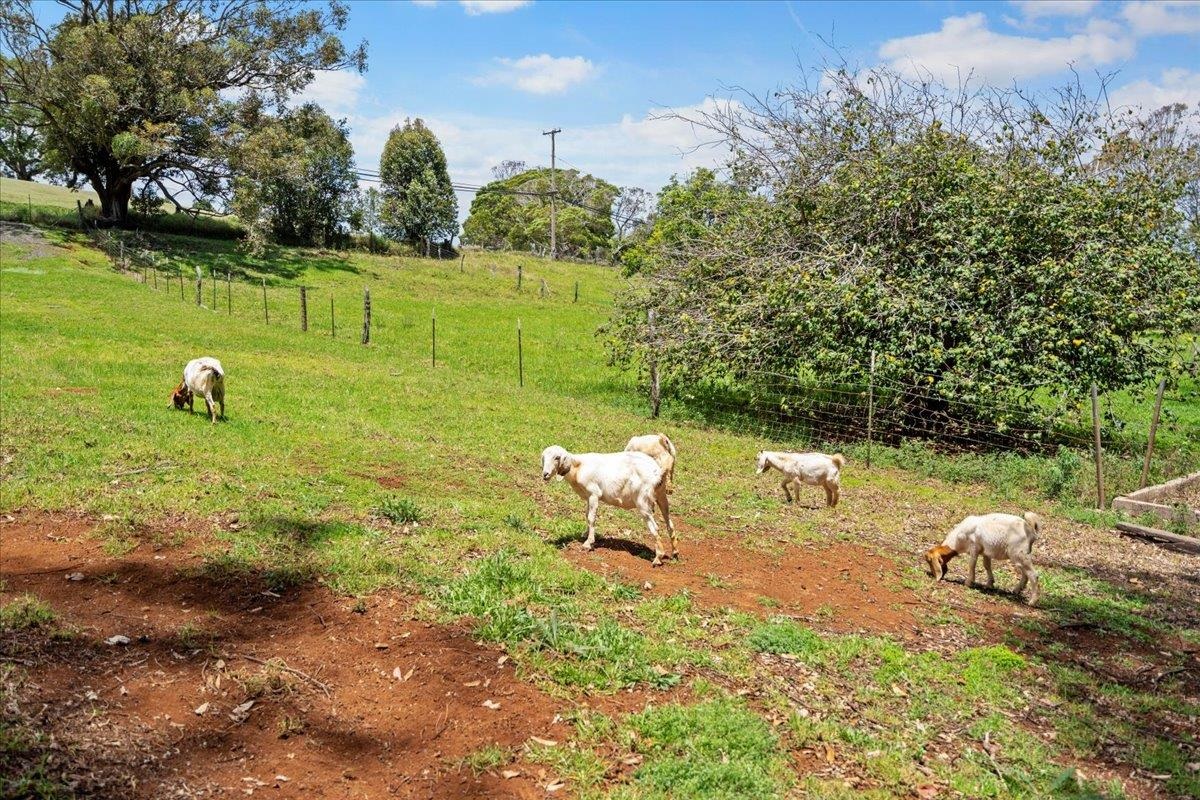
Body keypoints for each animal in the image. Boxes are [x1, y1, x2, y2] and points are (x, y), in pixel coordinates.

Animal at [542, 448, 681, 566]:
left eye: (557, 457)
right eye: (543, 457)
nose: (545, 474)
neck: (578, 467)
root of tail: (658, 472)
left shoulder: (594, 494)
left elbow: (591, 518)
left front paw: (588, 543)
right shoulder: (588, 497)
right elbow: (587, 515)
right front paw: (585, 534)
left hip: (643, 502)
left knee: (655, 527)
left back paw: (658, 558)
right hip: (661, 496)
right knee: (669, 523)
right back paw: (674, 552)